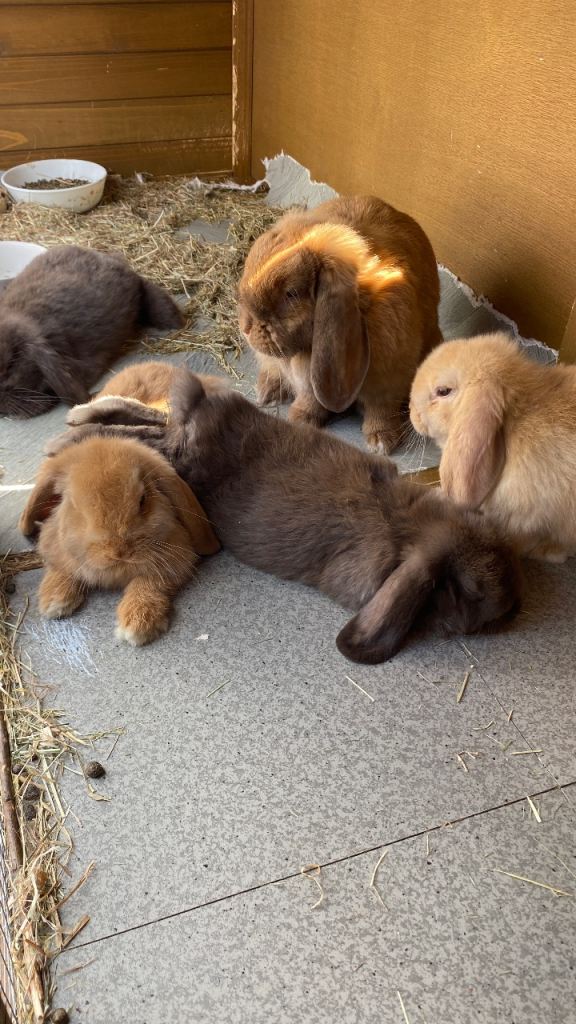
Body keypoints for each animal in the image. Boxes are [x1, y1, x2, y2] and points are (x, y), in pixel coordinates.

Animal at [19, 434, 220, 645]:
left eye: (142, 500)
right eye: (75, 505)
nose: (119, 551)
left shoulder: (174, 560)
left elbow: (148, 582)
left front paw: (136, 625)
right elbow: (62, 568)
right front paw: (53, 602)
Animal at [55, 369, 522, 664]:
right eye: (471, 591)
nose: (513, 609)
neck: (409, 526)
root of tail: (207, 408)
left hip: (180, 444)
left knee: (151, 422)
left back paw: (76, 420)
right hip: (184, 460)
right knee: (144, 434)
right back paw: (72, 435)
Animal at [237, 195, 443, 454]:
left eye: (291, 293)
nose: (245, 327)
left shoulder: (389, 379)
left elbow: (381, 409)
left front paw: (380, 442)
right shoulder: (309, 382)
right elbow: (310, 399)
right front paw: (299, 421)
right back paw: (267, 392)